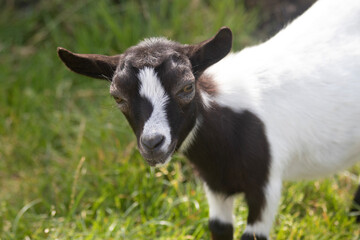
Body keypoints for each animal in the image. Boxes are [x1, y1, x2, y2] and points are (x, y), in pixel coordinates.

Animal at [57, 0, 360, 239]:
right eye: (118, 97)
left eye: (187, 87)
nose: (153, 143)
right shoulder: (215, 185)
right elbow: (219, 229)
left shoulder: (266, 185)